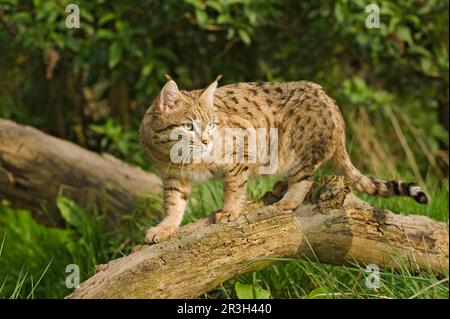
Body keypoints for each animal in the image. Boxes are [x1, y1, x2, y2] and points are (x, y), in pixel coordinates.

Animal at [139, 77, 428, 245]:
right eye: (189, 126)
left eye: (211, 125)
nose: (207, 141)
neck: (183, 160)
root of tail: (332, 103)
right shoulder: (172, 176)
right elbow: (173, 204)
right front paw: (165, 228)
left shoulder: (241, 152)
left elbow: (234, 187)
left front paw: (230, 211)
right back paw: (279, 189)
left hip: (295, 149)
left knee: (305, 178)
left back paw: (287, 201)